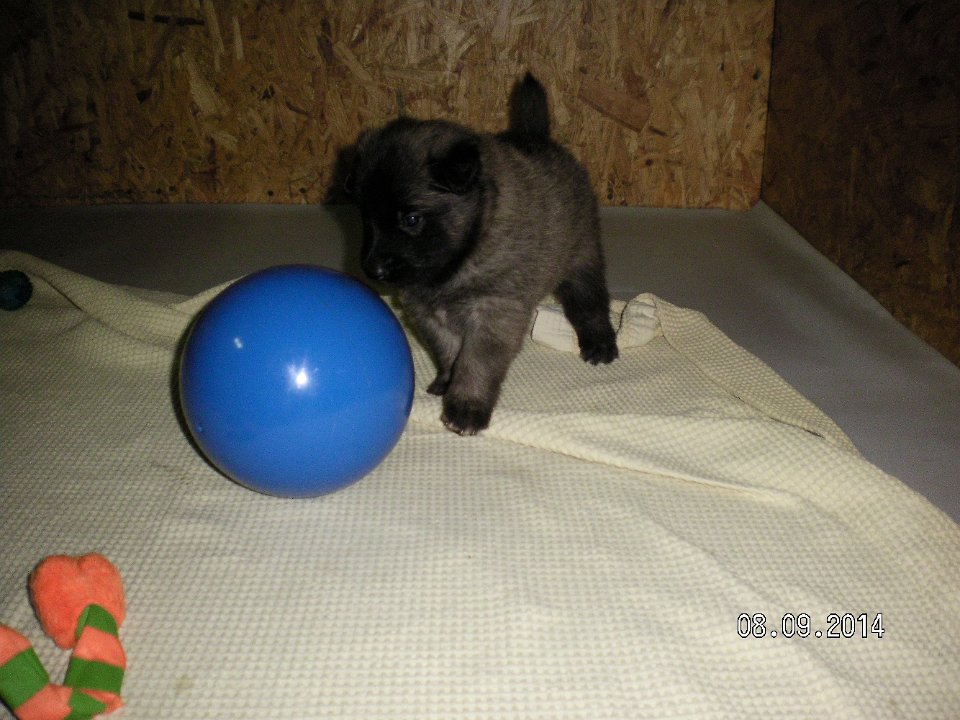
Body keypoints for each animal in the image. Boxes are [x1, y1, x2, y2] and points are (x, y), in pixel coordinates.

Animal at [348, 73, 618, 435]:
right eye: (366, 218)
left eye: (411, 219)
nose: (372, 270)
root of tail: (538, 136)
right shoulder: (430, 316)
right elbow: (449, 354)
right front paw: (446, 383)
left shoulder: (493, 314)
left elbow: (475, 364)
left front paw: (466, 408)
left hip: (581, 258)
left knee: (590, 303)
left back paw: (599, 344)